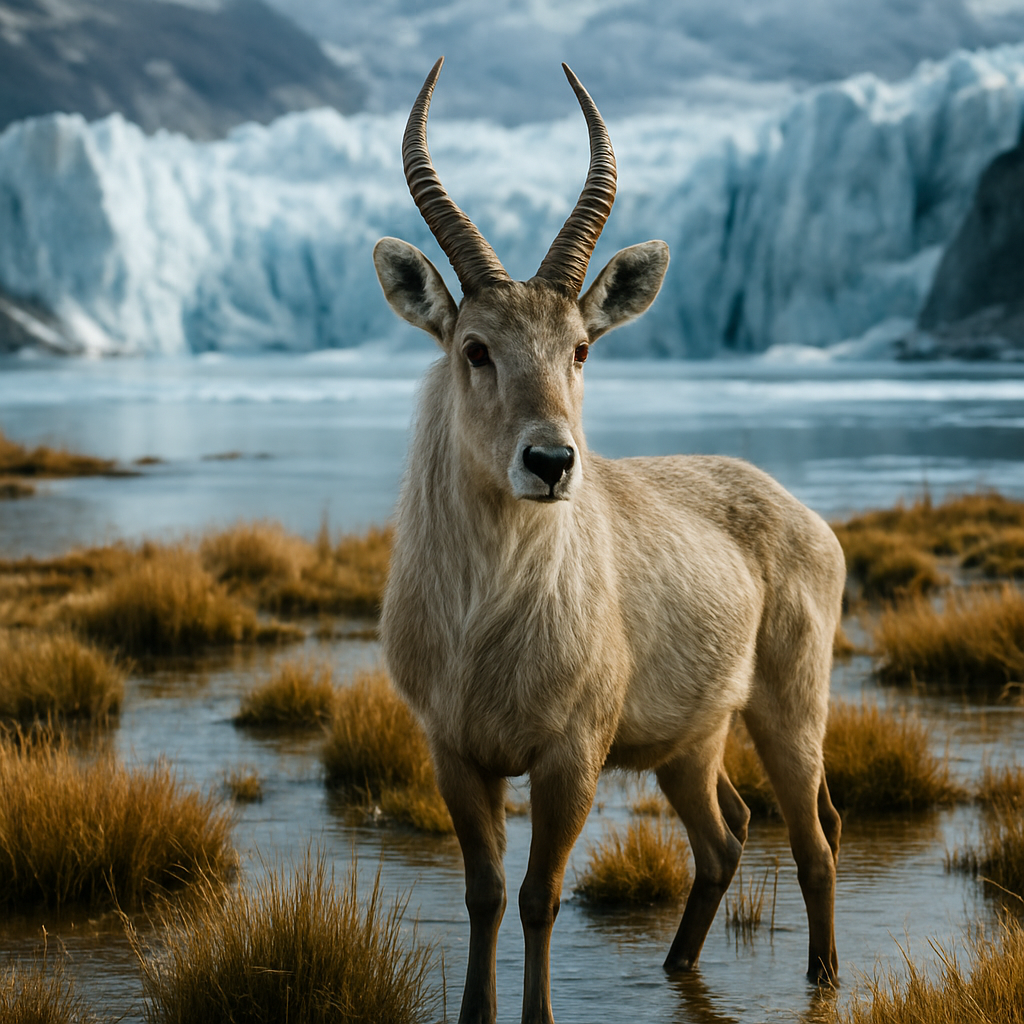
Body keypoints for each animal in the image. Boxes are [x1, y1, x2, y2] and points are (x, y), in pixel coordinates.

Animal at [374, 57, 845, 1024]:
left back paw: (823, 979)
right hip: (690, 745)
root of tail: (803, 517)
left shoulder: (570, 757)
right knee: (727, 836)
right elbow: (482, 892)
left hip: (790, 710)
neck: (483, 623)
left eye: (582, 347)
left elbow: (539, 895)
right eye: (475, 346)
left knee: (813, 839)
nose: (551, 461)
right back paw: (675, 967)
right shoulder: (455, 754)